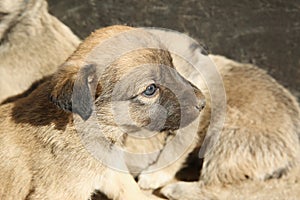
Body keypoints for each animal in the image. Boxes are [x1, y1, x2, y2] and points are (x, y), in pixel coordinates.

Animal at [134, 28, 300, 199]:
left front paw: (152, 176)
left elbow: (172, 151)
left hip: (227, 135)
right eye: (150, 87)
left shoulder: (188, 129)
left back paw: (174, 190)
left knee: (218, 188)